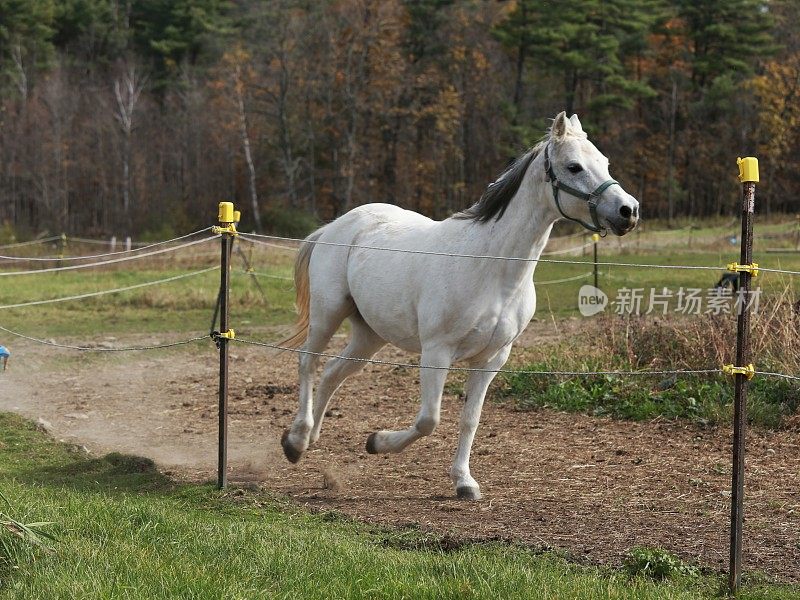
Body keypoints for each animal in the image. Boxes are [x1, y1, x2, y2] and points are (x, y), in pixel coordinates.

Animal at [280, 112, 636, 502]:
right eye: (574, 167)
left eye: (604, 163)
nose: (628, 211)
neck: (490, 268)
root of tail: (336, 226)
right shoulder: (437, 352)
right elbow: (428, 419)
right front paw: (377, 442)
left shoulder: (491, 359)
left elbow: (470, 420)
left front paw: (464, 482)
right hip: (328, 314)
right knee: (308, 362)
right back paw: (296, 441)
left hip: (370, 335)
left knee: (333, 373)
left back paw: (309, 439)